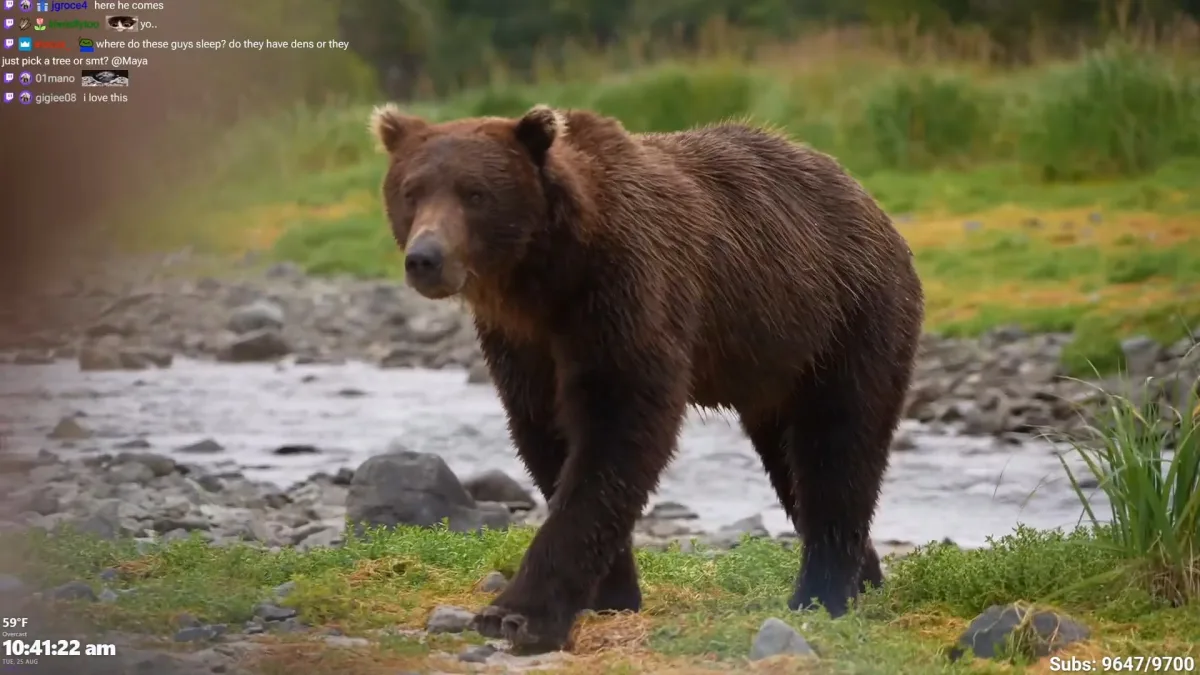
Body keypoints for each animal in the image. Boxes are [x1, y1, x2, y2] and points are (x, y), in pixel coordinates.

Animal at [368, 102, 924, 653]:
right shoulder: (522, 345)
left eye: (475, 193)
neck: (546, 280)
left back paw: (819, 595)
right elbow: (546, 437)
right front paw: (610, 594)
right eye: (411, 191)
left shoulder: (627, 296)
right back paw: (866, 581)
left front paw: (517, 614)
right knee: (792, 464)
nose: (425, 258)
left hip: (845, 320)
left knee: (836, 448)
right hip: (776, 366)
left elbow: (619, 430)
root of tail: (873, 205)